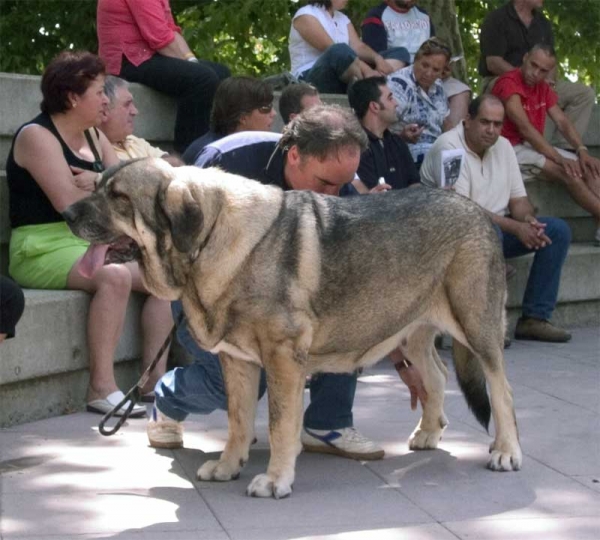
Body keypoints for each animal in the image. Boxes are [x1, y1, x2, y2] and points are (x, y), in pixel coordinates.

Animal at [65, 158, 520, 500]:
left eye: (119, 197)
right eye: (98, 185)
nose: (67, 213)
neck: (209, 240)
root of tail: (477, 209)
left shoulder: (282, 358)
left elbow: (280, 425)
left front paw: (274, 480)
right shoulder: (237, 361)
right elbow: (238, 421)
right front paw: (229, 465)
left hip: (476, 328)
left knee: (501, 390)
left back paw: (506, 452)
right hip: (411, 330)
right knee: (438, 375)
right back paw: (428, 433)